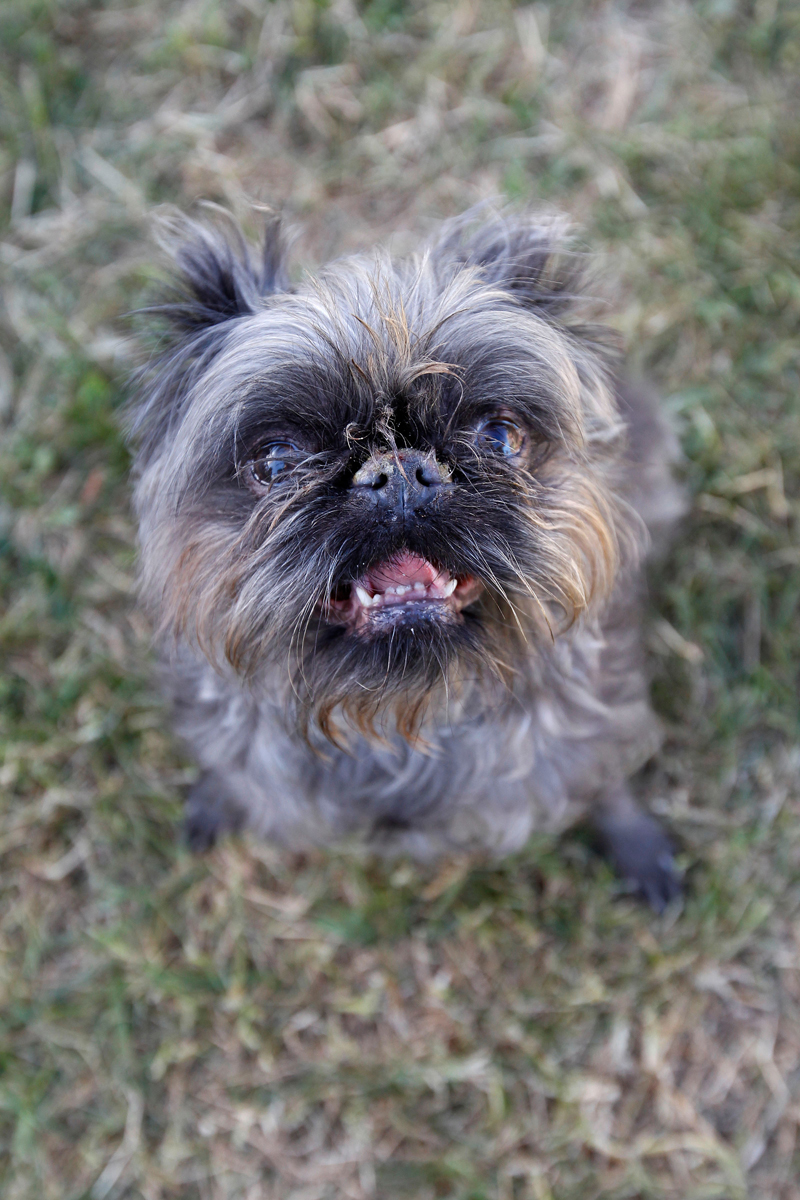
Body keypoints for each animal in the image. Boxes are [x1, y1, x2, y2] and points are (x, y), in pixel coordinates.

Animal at [131, 208, 681, 907]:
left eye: (499, 437)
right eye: (276, 461)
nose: (398, 473)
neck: (397, 724)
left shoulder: (594, 729)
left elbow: (604, 781)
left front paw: (632, 838)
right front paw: (221, 799)